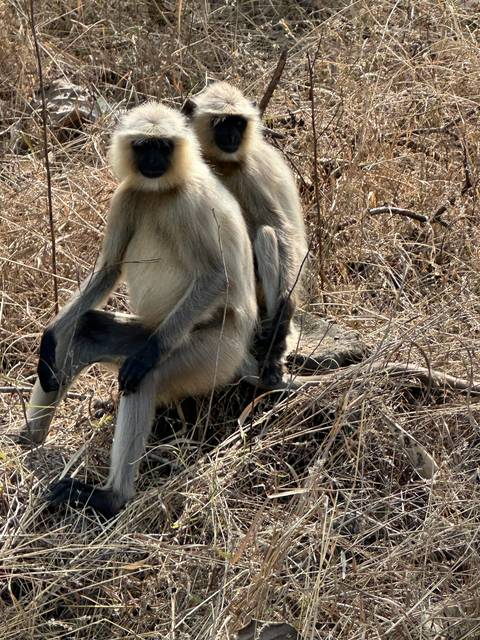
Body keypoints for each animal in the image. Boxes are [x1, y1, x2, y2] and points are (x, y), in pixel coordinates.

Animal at [23, 102, 258, 518]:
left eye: (163, 146)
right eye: (144, 146)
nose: (152, 161)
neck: (161, 191)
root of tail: (241, 350)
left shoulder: (190, 203)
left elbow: (219, 279)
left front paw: (146, 357)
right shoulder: (128, 194)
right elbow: (108, 270)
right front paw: (48, 337)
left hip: (212, 354)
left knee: (144, 377)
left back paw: (110, 498)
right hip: (156, 329)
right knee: (86, 331)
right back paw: (30, 440)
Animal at [182, 82, 309, 388]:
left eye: (238, 123)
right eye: (221, 123)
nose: (232, 136)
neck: (222, 163)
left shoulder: (248, 172)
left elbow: (280, 228)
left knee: (267, 235)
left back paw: (272, 352)